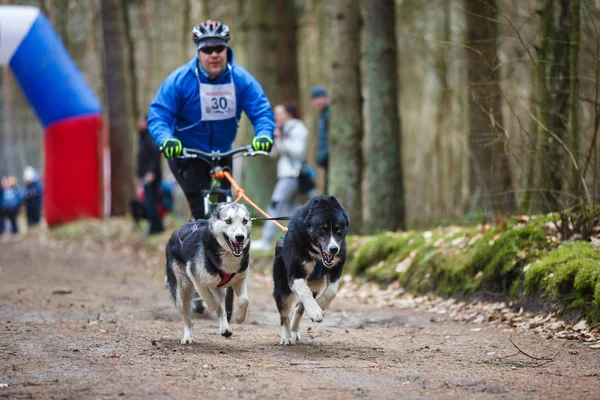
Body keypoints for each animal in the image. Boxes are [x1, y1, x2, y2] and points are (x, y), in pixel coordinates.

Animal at [165, 203, 252, 344]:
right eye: (228, 221)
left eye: (245, 221)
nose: (240, 237)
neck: (226, 254)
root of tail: (175, 232)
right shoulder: (195, 277)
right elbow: (209, 299)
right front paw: (212, 305)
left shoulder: (240, 279)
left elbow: (244, 300)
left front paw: (239, 317)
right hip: (183, 288)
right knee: (187, 317)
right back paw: (188, 336)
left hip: (219, 288)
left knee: (222, 304)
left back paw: (225, 328)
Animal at [270, 195, 350, 344]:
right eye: (323, 229)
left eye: (338, 229)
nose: (334, 249)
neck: (317, 255)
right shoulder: (295, 273)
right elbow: (304, 291)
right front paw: (315, 311)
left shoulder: (336, 268)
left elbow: (332, 291)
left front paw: (320, 305)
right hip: (282, 288)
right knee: (284, 314)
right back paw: (286, 336)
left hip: (315, 286)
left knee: (299, 308)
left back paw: (294, 330)